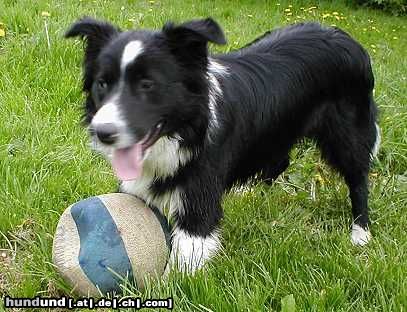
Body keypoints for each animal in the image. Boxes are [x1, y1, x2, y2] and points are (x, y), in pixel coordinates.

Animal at [65, 17, 380, 272]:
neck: (184, 130)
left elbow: (187, 256)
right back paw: (248, 190)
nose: (103, 133)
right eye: (102, 83)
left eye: (147, 85)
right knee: (280, 160)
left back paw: (361, 233)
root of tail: (349, 39)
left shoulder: (199, 198)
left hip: (347, 132)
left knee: (358, 178)